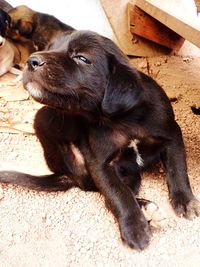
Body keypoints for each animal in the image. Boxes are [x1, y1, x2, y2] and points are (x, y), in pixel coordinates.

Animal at [0, 30, 199, 251]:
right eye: (50, 47)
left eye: (82, 58)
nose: (31, 61)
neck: (122, 119)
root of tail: (67, 174)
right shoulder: (100, 164)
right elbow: (117, 195)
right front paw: (134, 228)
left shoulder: (172, 134)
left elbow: (177, 169)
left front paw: (186, 201)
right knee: (108, 195)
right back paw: (146, 210)